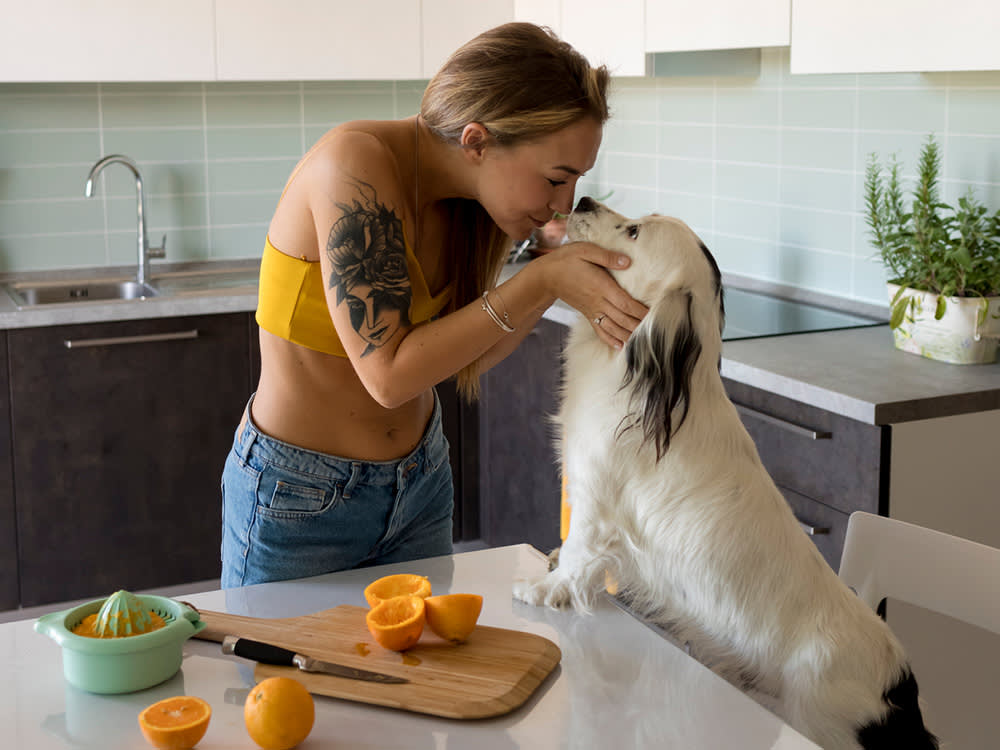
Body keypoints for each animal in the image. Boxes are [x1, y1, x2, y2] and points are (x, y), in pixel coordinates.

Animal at [512, 198, 940, 750]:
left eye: (632, 232)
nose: (583, 201)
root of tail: (900, 697)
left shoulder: (597, 498)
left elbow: (579, 551)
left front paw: (545, 589)